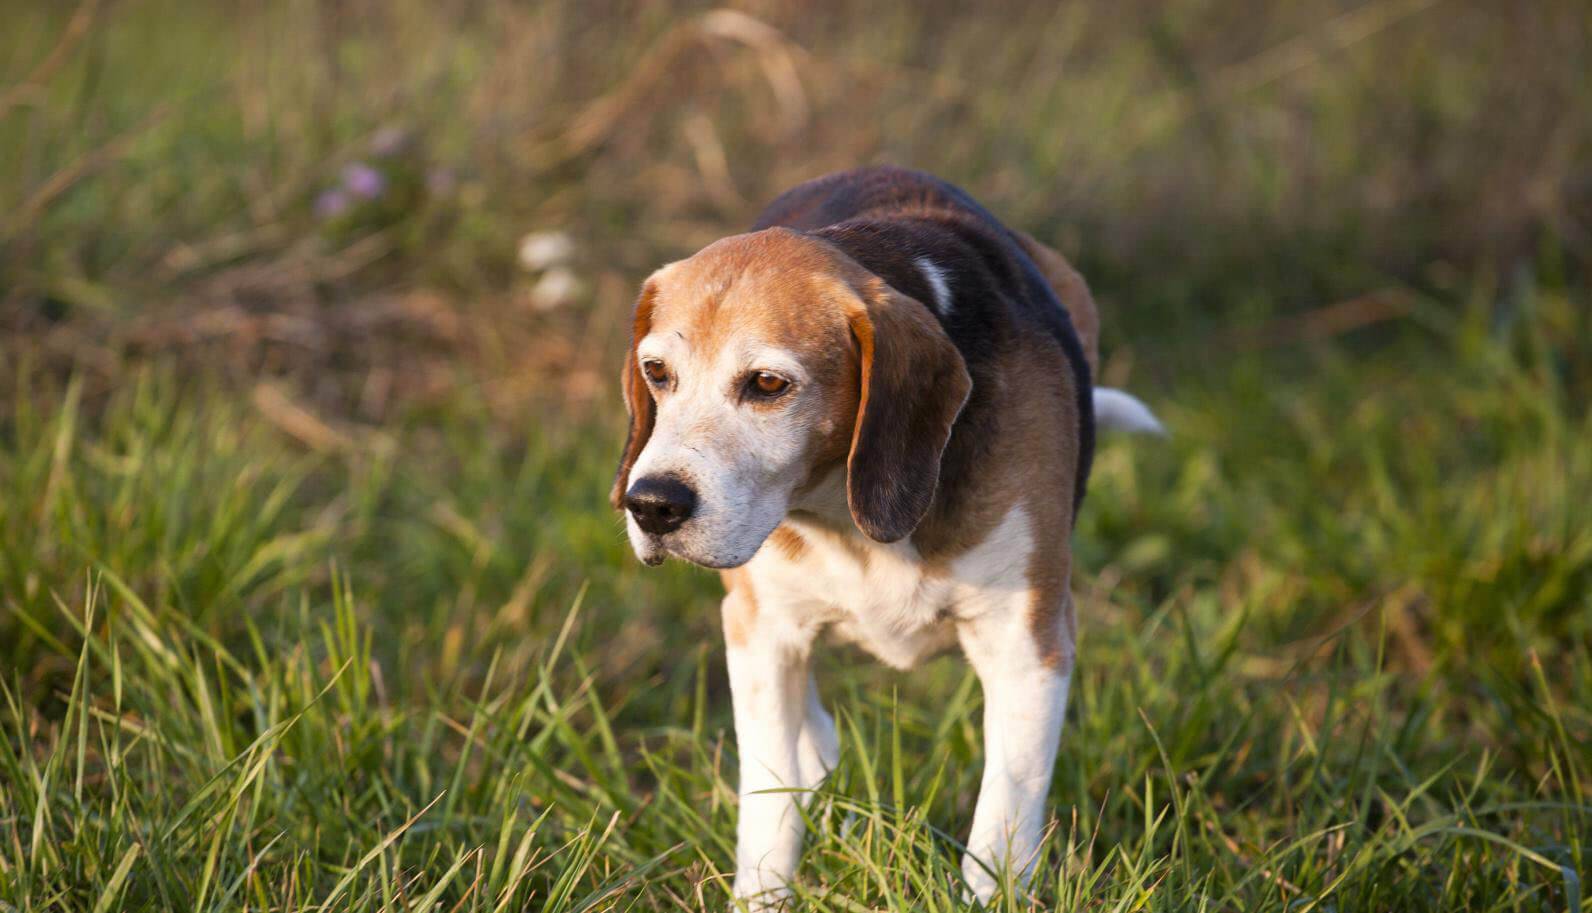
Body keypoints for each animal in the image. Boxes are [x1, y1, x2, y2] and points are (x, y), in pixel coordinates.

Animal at [608, 165, 1158, 905]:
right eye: (657, 373)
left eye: (768, 383)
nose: (651, 504)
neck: (845, 519)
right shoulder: (762, 629)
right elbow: (768, 796)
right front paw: (763, 894)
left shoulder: (1027, 641)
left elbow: (1005, 812)